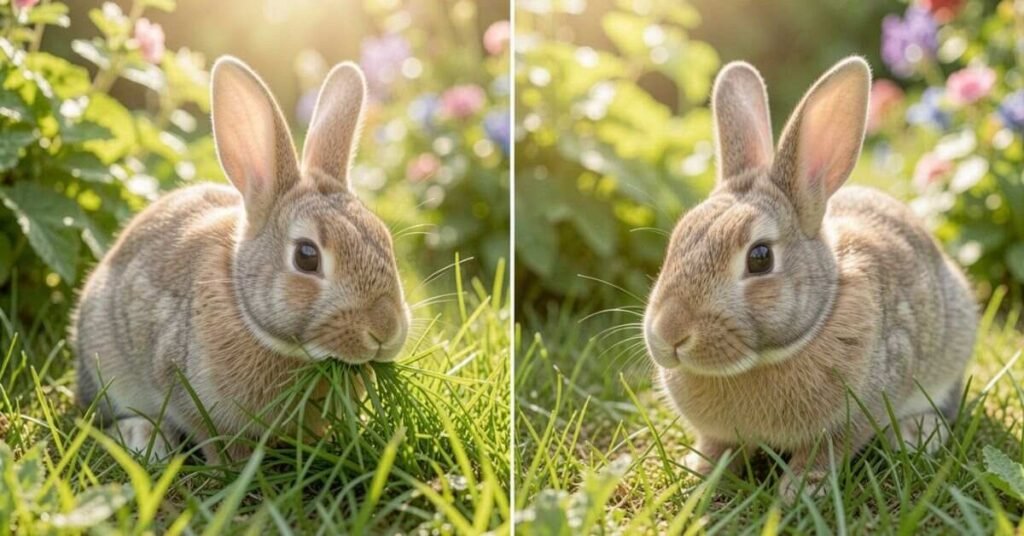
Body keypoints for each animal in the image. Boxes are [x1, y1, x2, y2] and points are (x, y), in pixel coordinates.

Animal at [70, 56, 411, 463]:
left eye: (384, 238)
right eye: (307, 256)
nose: (386, 330)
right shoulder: (188, 394)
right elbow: (214, 440)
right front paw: (235, 468)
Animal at [643, 56, 977, 500]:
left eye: (760, 258)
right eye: (678, 239)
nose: (668, 334)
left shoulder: (850, 420)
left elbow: (825, 453)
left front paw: (798, 490)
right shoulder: (720, 434)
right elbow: (717, 447)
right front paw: (698, 474)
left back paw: (915, 434)